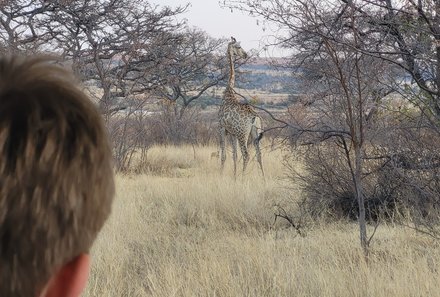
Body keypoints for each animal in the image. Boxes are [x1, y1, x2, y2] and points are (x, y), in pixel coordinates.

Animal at [217, 35, 262, 177]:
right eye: (238, 46)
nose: (245, 54)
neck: (228, 92)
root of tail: (254, 117)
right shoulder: (232, 132)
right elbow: (234, 156)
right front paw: (234, 176)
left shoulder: (221, 128)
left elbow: (224, 155)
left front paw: (222, 176)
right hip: (255, 133)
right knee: (259, 154)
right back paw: (263, 179)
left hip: (243, 134)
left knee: (246, 155)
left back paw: (243, 178)